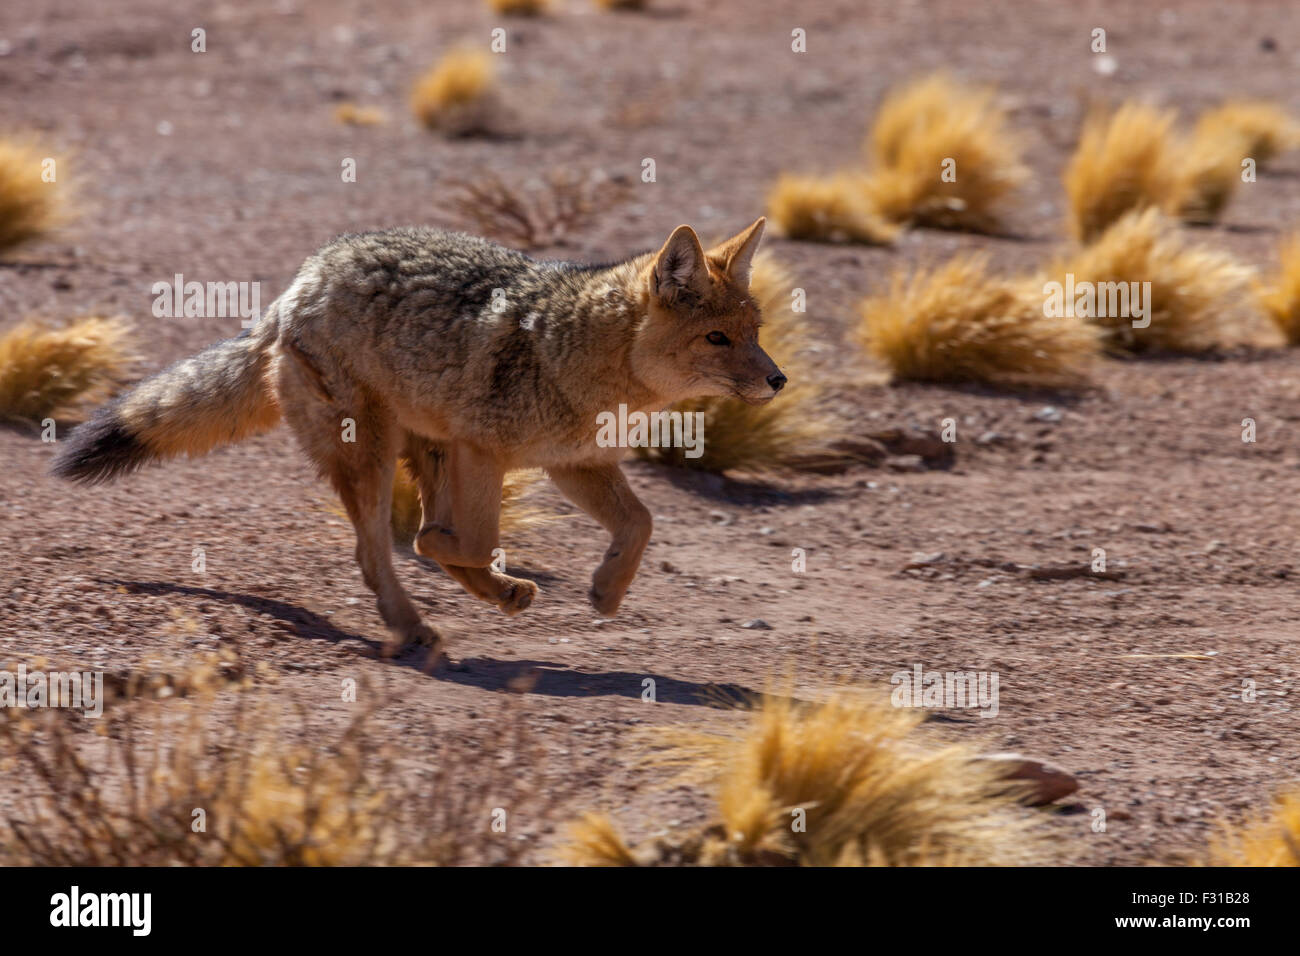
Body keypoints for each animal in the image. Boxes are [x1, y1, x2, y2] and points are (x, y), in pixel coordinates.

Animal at [50, 221, 785, 660]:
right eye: (717, 339)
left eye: (754, 331)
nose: (778, 379)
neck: (583, 354)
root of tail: (295, 288)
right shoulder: (484, 452)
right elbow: (463, 540)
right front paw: (472, 564)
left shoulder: (573, 463)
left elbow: (640, 522)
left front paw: (607, 591)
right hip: (374, 457)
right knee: (375, 549)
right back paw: (413, 623)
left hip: (422, 450)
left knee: (412, 538)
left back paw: (498, 593)